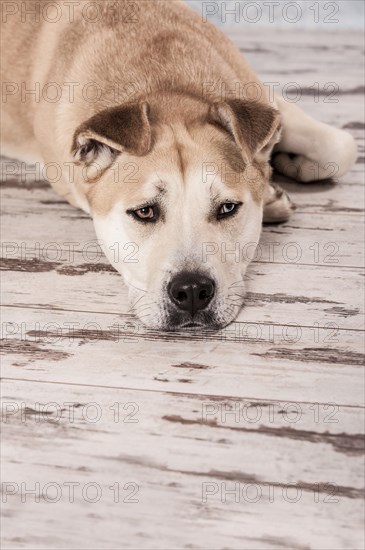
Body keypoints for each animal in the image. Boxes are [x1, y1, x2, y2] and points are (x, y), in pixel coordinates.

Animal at [0, 0, 356, 330]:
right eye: (144, 212)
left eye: (228, 208)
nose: (193, 291)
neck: (164, 86)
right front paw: (272, 191)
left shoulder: (267, 100)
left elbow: (342, 149)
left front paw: (281, 174)